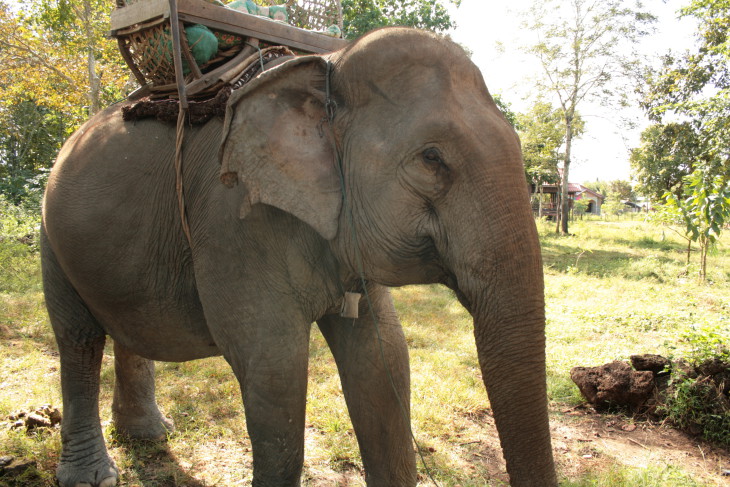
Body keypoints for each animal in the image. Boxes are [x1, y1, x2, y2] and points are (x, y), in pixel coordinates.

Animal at [42, 27, 556, 487]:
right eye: (431, 158)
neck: (329, 61)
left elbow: (382, 358)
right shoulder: (234, 224)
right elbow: (276, 370)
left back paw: (149, 434)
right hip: (51, 234)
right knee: (79, 338)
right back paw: (91, 476)